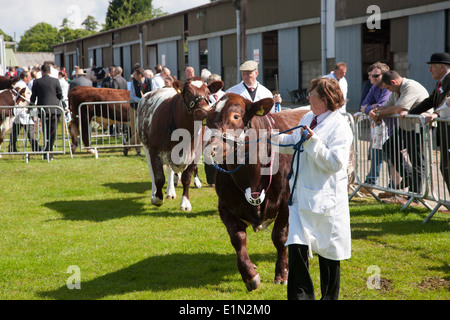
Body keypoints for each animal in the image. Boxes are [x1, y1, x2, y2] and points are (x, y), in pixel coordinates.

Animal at [136, 77, 222, 211]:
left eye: (208, 93)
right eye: (188, 93)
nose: (203, 111)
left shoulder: (195, 154)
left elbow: (186, 178)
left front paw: (185, 203)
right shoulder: (154, 151)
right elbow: (159, 178)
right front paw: (157, 198)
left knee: (170, 171)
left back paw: (170, 191)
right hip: (145, 147)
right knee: (152, 172)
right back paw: (154, 193)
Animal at [200, 92, 310, 290]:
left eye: (235, 116)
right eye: (208, 120)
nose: (211, 149)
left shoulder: (286, 203)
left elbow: (280, 237)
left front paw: (282, 274)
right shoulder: (225, 207)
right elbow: (237, 238)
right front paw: (250, 274)